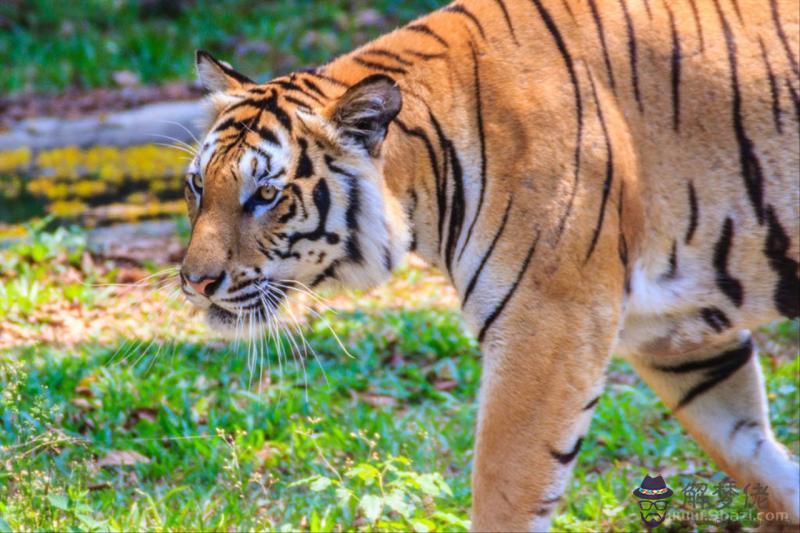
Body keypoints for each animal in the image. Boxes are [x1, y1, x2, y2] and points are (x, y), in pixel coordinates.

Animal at [180, 1, 800, 528]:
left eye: (265, 195)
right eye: (197, 186)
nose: (194, 281)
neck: (424, 181)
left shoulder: (548, 327)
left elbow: (506, 489)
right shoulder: (676, 332)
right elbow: (752, 451)